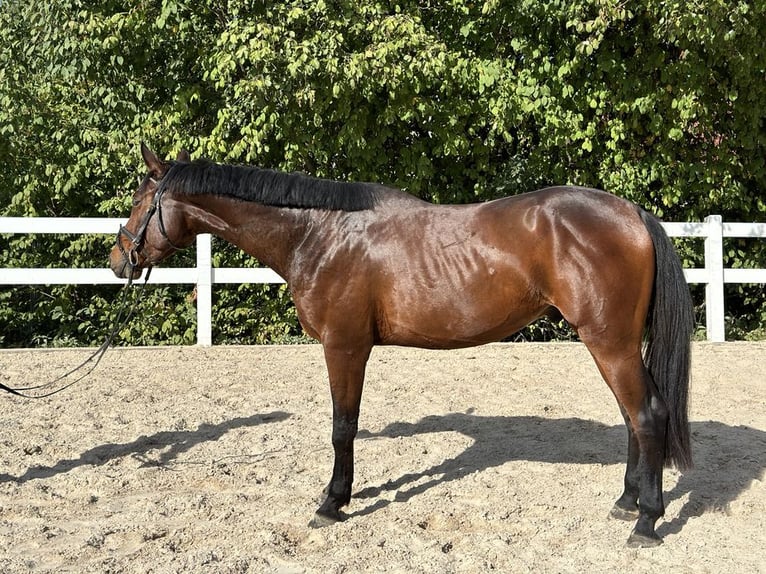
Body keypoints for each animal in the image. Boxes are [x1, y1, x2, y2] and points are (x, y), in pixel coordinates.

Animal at [109, 144, 696, 548]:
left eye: (139, 202)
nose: (118, 262)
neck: (320, 234)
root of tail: (632, 213)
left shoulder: (345, 347)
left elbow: (342, 427)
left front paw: (333, 501)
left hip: (610, 342)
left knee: (646, 415)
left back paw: (646, 521)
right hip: (613, 344)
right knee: (632, 416)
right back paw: (626, 502)